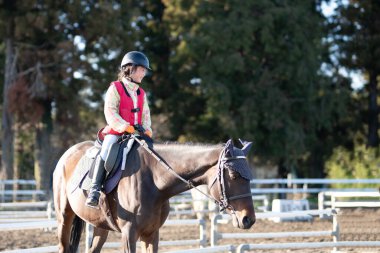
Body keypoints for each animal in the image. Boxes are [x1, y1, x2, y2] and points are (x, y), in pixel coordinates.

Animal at [52, 138, 255, 253]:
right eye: (234, 175)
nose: (249, 220)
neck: (154, 181)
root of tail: (68, 153)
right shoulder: (129, 234)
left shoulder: (151, 233)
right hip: (64, 217)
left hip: (101, 225)